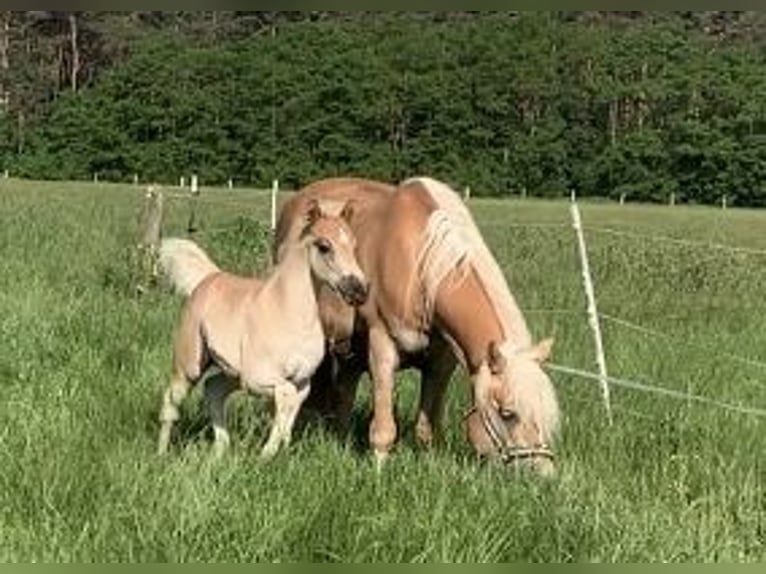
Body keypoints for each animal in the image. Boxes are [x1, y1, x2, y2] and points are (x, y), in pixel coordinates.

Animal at [157, 202, 368, 460]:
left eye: (354, 245)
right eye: (324, 246)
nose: (358, 290)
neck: (286, 310)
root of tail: (209, 278)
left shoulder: (302, 382)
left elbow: (290, 408)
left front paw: (279, 450)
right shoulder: (258, 379)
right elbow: (285, 398)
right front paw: (267, 454)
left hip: (231, 372)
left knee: (213, 389)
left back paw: (221, 449)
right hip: (190, 365)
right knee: (172, 398)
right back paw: (161, 453)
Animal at [274, 178, 560, 474]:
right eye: (507, 413)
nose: (543, 474)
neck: (419, 266)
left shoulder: (441, 363)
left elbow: (427, 429)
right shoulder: (382, 348)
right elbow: (384, 429)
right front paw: (378, 472)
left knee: (344, 391)